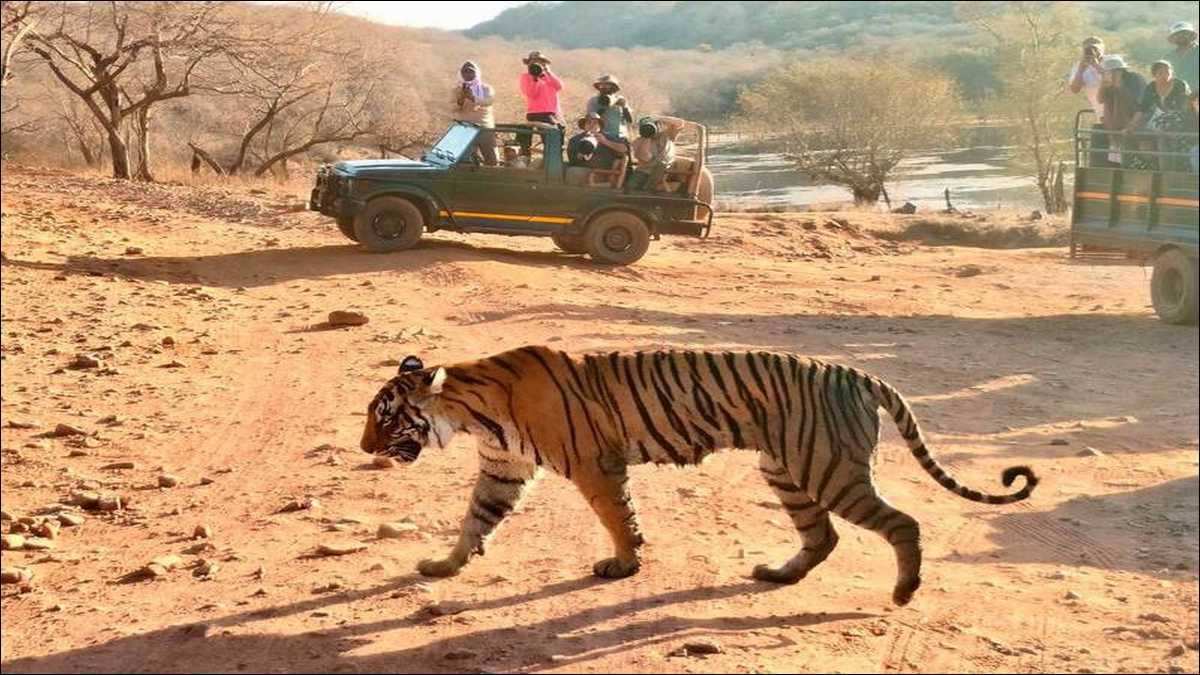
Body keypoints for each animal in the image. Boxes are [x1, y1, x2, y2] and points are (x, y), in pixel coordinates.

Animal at [360, 346, 1038, 606]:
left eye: (383, 414)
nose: (364, 446)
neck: (471, 413)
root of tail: (859, 373)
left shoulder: (595, 465)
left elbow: (617, 517)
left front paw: (623, 564)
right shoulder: (505, 469)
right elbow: (474, 519)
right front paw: (443, 566)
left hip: (829, 470)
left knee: (903, 523)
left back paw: (903, 591)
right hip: (787, 468)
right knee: (822, 536)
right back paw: (778, 574)